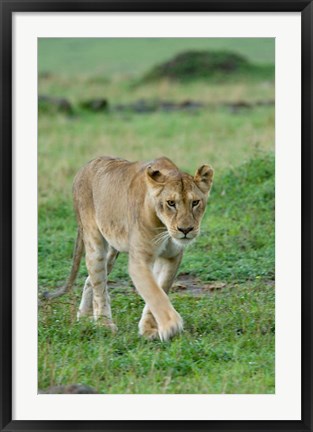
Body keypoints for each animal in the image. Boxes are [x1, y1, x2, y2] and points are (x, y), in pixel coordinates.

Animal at [44, 155, 213, 340]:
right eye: (171, 203)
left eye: (195, 202)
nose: (185, 230)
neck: (164, 228)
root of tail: (86, 166)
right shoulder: (139, 260)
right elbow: (155, 293)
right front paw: (171, 325)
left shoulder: (171, 258)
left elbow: (161, 288)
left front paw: (149, 329)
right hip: (95, 243)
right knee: (98, 285)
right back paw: (103, 324)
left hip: (112, 251)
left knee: (90, 280)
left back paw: (84, 317)